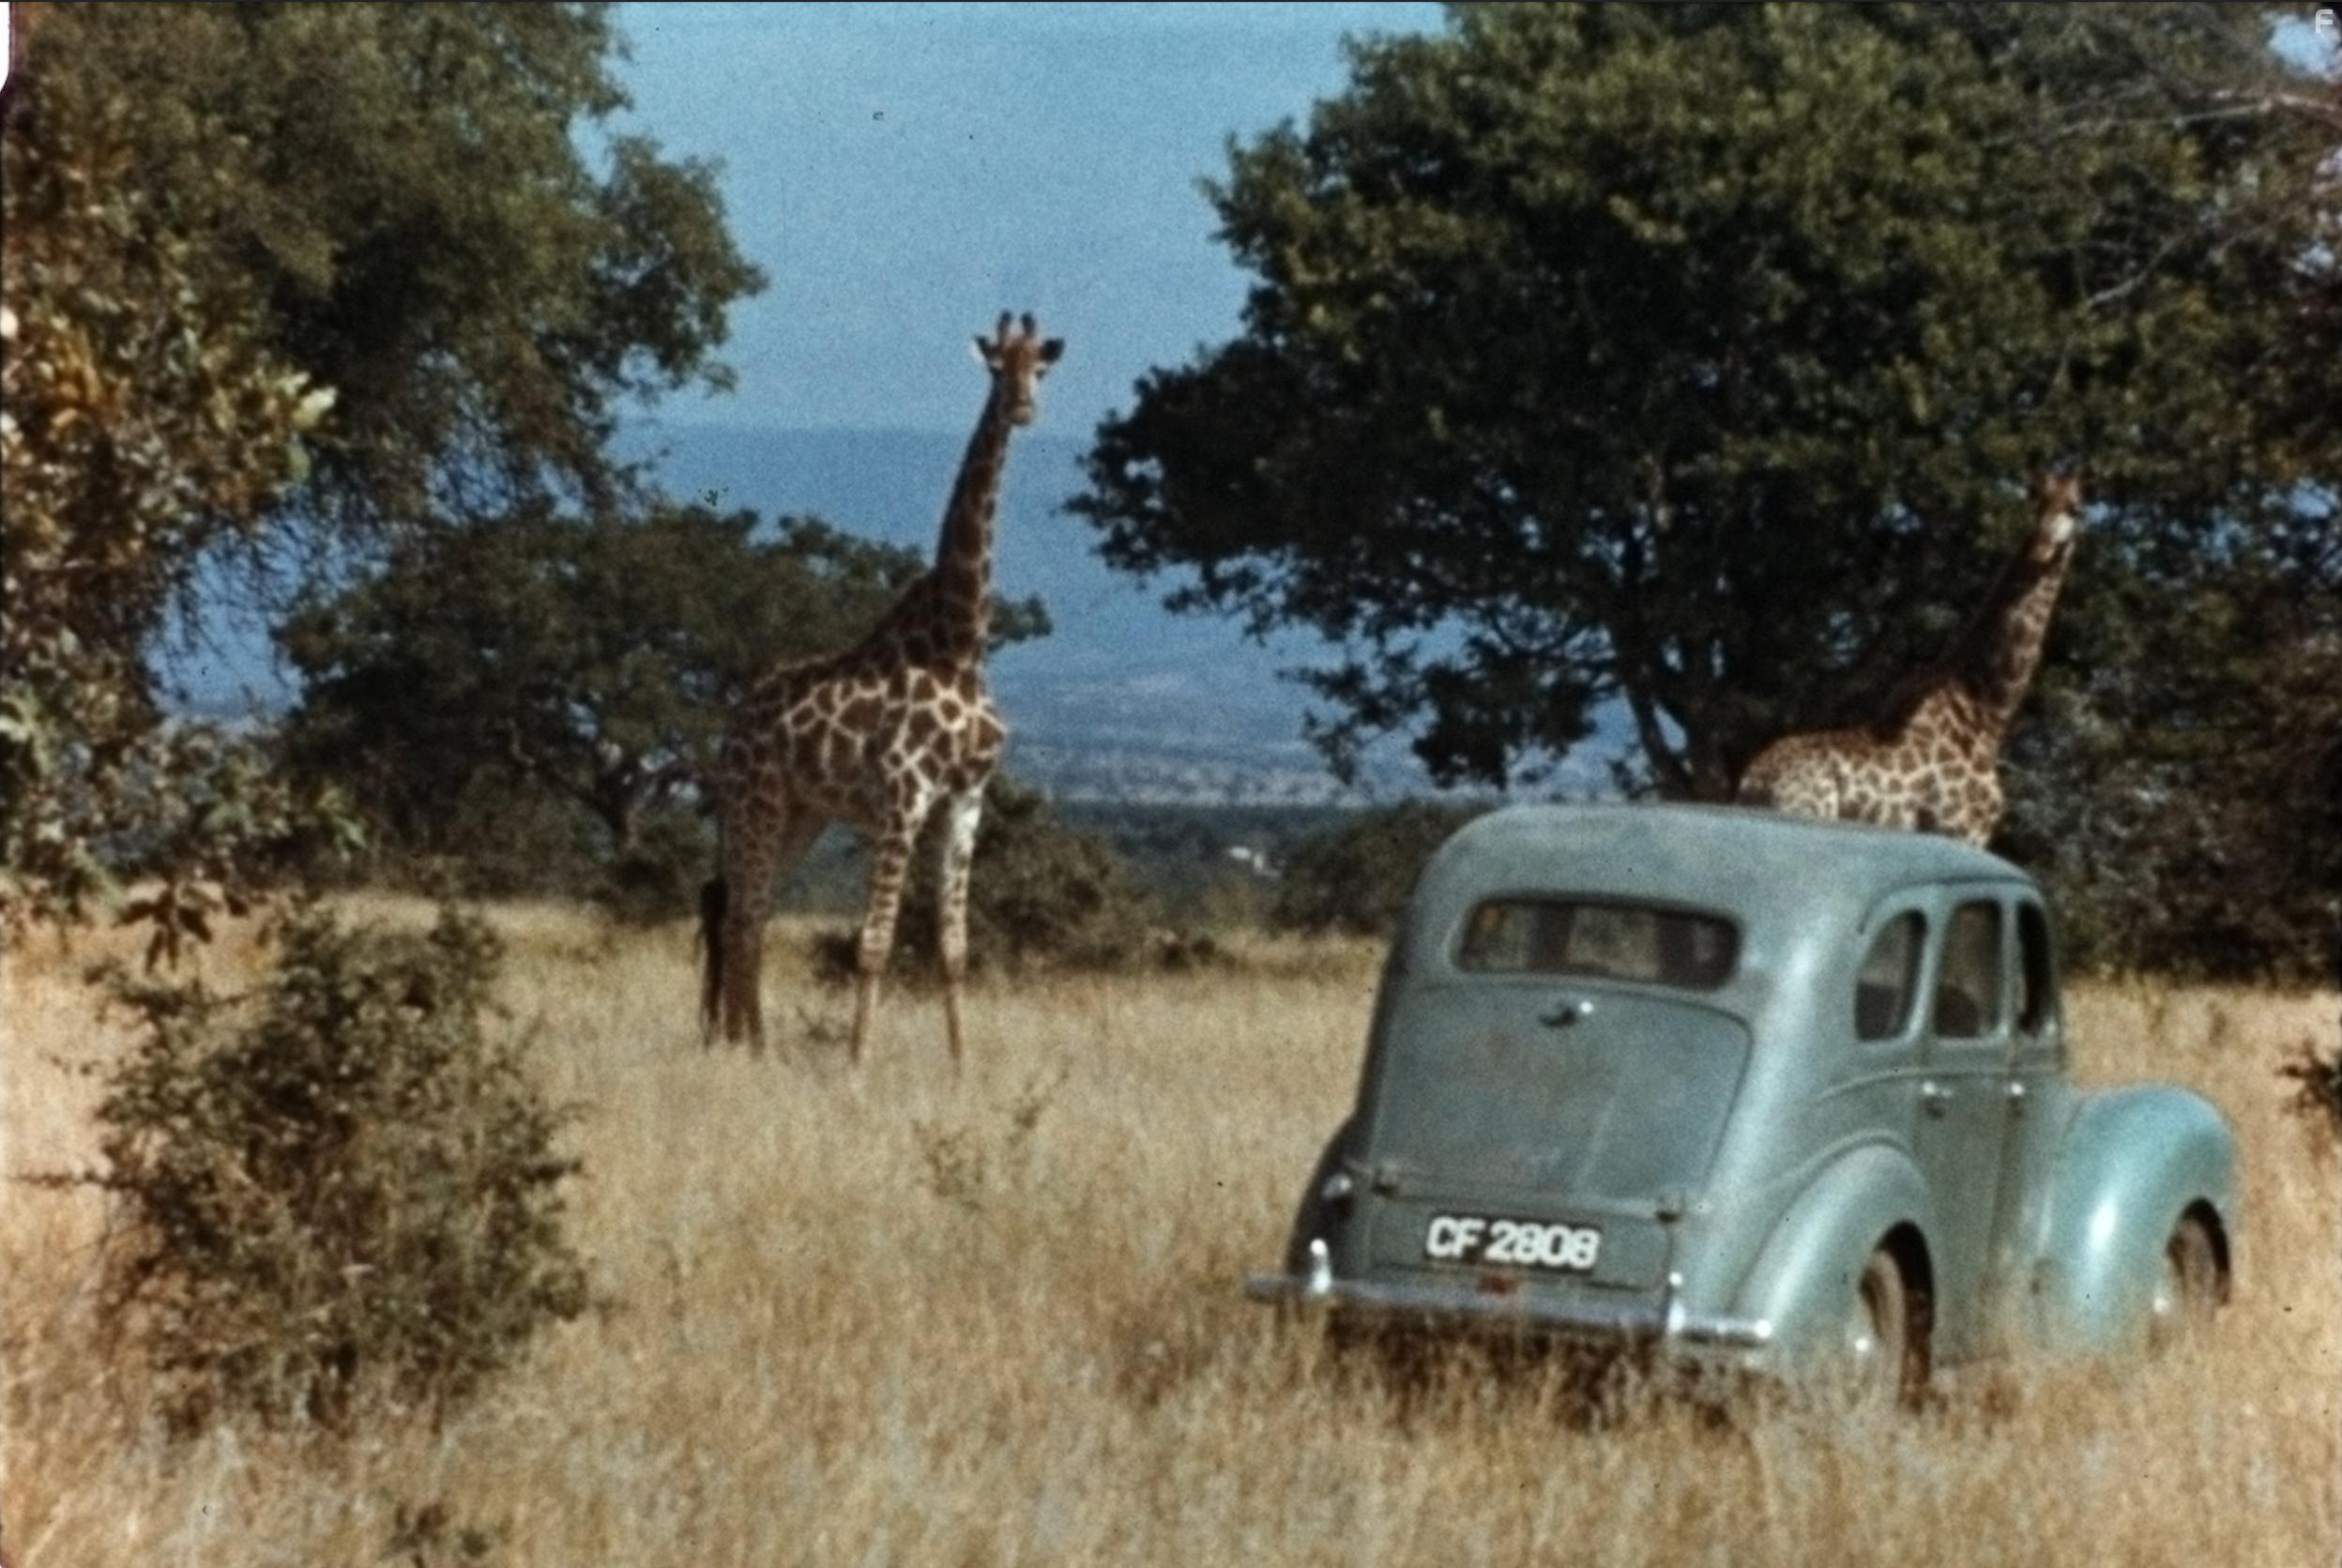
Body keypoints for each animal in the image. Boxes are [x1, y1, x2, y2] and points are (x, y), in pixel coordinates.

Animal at [699, 312, 1063, 1062]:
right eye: (996, 368)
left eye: (1039, 367)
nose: (1022, 409)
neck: (960, 645)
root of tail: (733, 721)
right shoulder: (904, 795)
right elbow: (874, 941)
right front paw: (857, 1062)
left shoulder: (965, 800)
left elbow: (953, 947)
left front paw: (961, 1065)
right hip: (756, 802)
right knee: (740, 912)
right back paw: (751, 1045)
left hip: (805, 811)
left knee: (757, 911)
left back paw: (754, 1042)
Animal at [1734, 472, 2083, 847]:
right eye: (2039, 502)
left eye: (2075, 508)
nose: (2043, 544)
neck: (1987, 714)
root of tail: (1753, 782)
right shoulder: (1959, 830)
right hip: (1806, 815)